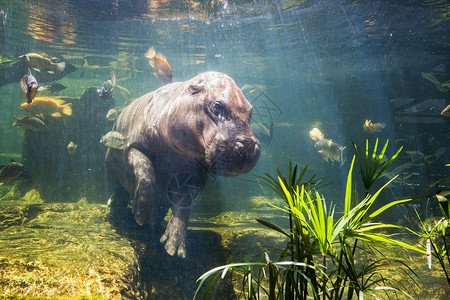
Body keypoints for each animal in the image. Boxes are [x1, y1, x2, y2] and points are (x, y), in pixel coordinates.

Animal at [105, 71, 260, 258]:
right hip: (110, 164)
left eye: (250, 110)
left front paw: (174, 247)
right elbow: (144, 168)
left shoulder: (197, 173)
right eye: (217, 106)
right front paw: (144, 214)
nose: (248, 146)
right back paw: (114, 206)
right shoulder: (132, 146)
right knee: (118, 188)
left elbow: (184, 202)